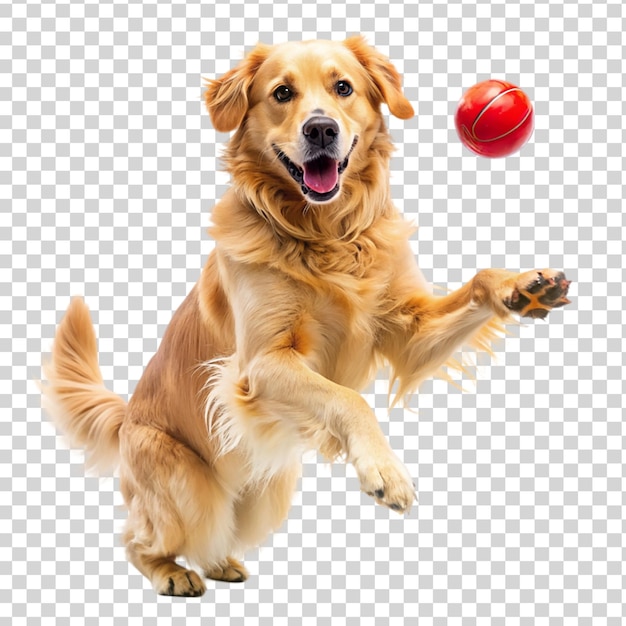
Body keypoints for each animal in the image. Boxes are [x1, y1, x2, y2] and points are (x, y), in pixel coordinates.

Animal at [42, 36, 572, 592]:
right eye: (282, 92)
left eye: (343, 87)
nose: (321, 129)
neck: (326, 234)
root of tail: (125, 418)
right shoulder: (262, 364)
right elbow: (347, 399)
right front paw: (384, 471)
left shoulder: (408, 333)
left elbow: (478, 281)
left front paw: (523, 286)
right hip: (185, 486)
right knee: (138, 538)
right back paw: (171, 573)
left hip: (266, 494)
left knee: (213, 537)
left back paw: (220, 563)